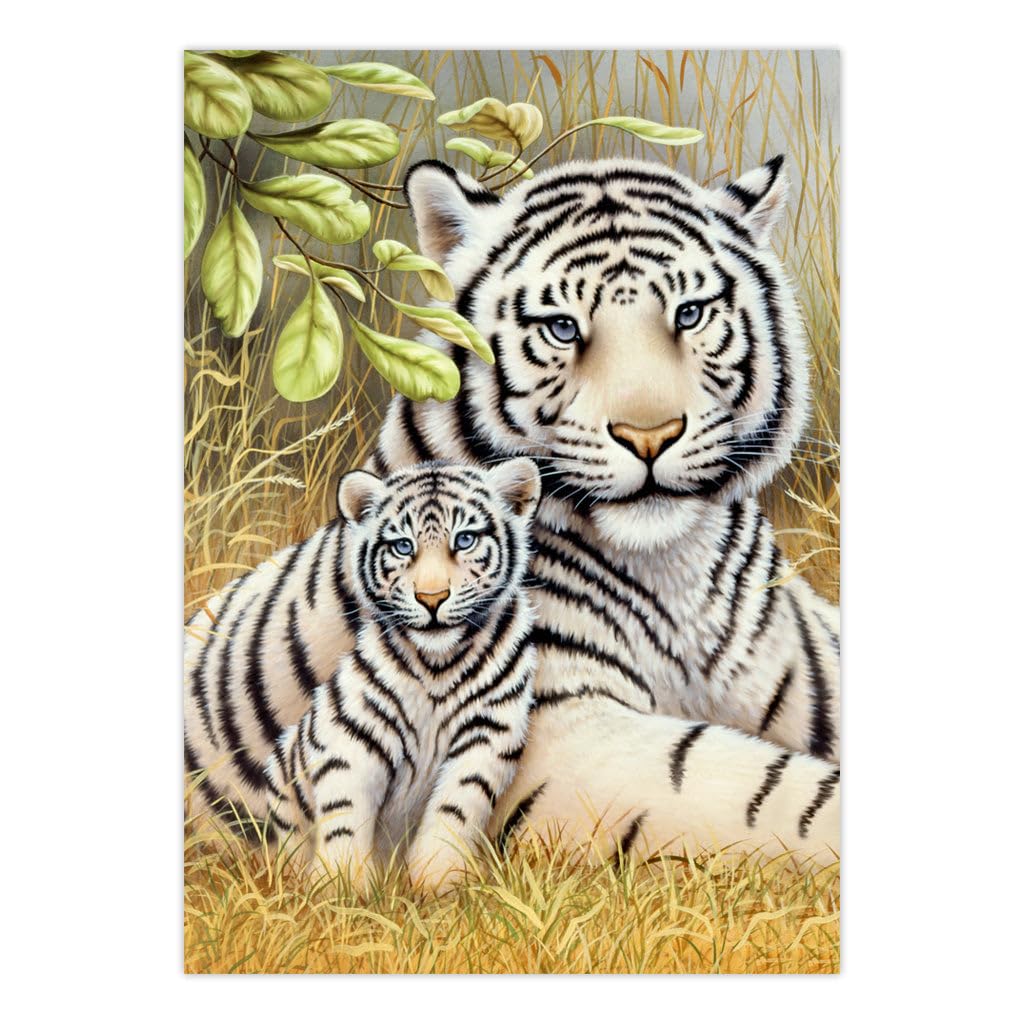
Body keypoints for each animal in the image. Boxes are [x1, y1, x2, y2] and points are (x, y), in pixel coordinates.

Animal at [263, 459, 540, 893]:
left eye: (464, 540)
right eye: (403, 546)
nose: (431, 599)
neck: (438, 663)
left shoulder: (489, 731)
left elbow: (458, 804)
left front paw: (440, 879)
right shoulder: (350, 735)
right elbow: (344, 813)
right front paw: (341, 885)